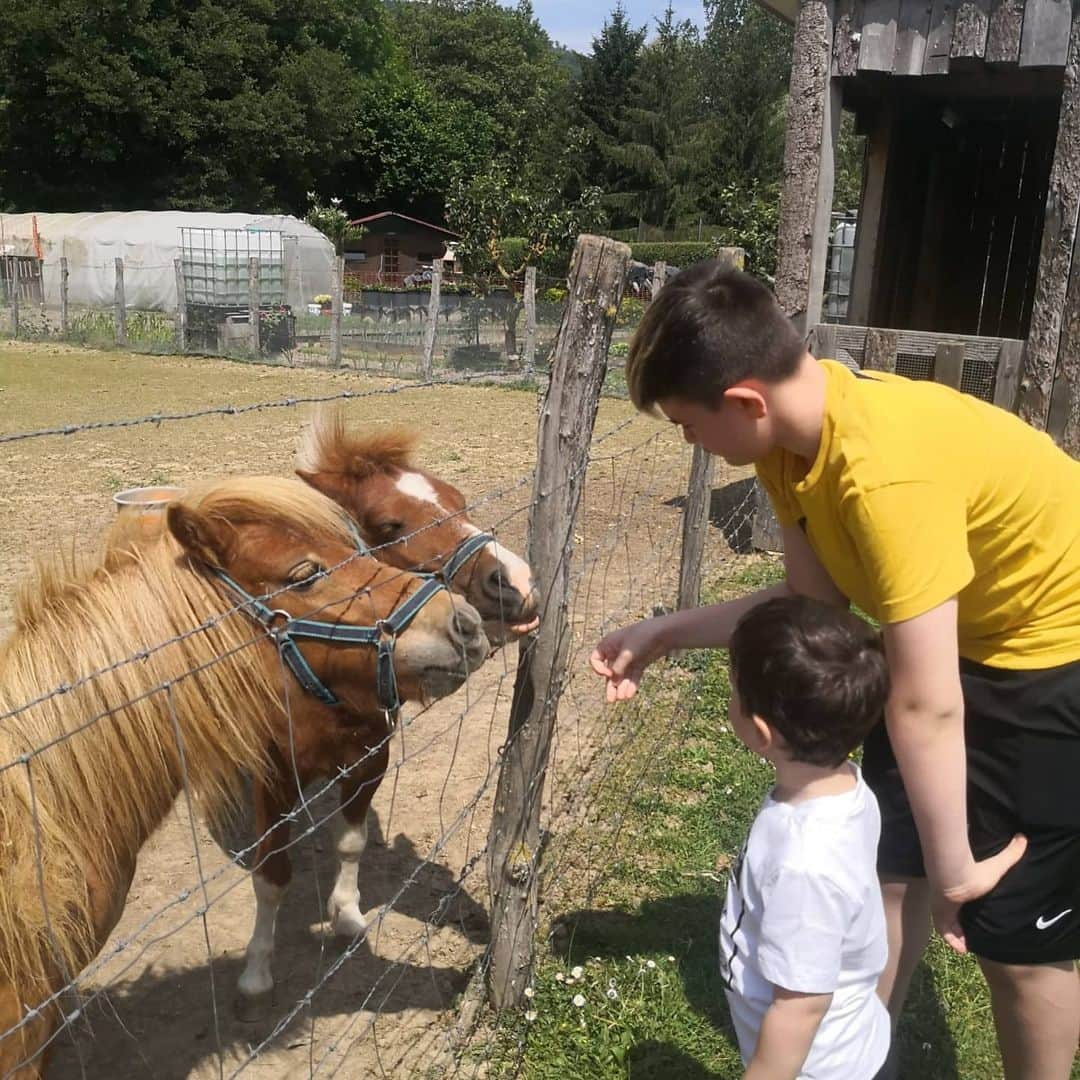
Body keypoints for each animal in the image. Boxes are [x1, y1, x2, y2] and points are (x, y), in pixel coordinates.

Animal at [0, 477, 486, 1075]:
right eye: (304, 574)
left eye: (365, 543)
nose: (466, 624)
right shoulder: (272, 773)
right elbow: (271, 875)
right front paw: (256, 978)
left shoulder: (371, 753)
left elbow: (350, 842)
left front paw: (347, 916)